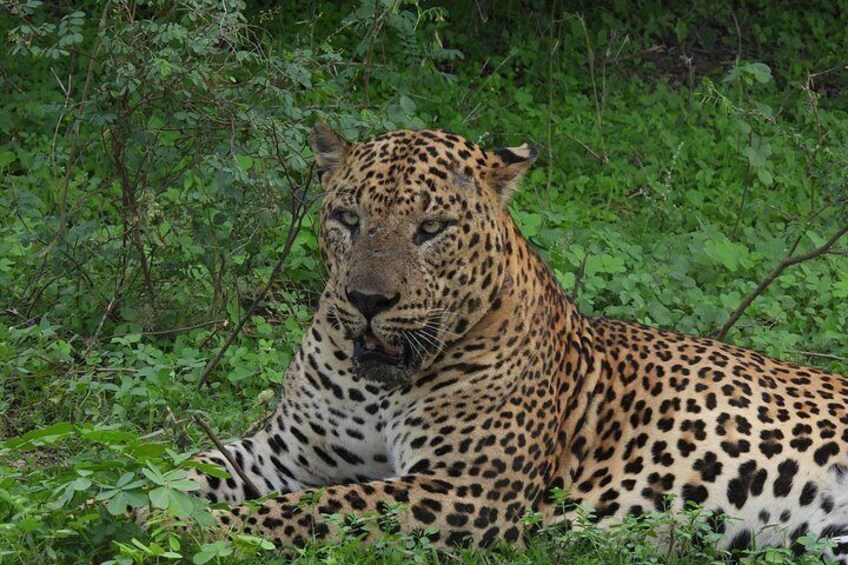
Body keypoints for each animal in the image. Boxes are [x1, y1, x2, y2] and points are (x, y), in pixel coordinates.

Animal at [187, 124, 848, 558]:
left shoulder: (469, 491)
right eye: (348, 219)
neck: (377, 388)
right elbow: (192, 468)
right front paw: (168, 511)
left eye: (432, 228)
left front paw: (207, 531)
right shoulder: (284, 454)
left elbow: (313, 508)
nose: (368, 301)